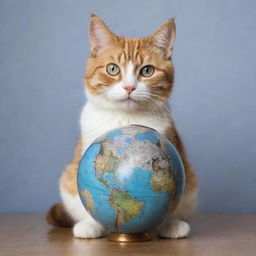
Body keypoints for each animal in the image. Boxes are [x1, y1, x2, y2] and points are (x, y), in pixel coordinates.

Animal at [46, 13, 198, 238]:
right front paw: (91, 224)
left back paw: (172, 226)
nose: (129, 87)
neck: (125, 117)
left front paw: (168, 223)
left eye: (147, 71)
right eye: (112, 69)